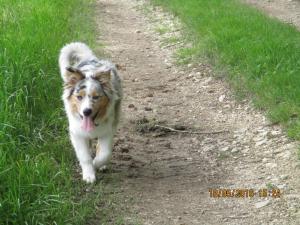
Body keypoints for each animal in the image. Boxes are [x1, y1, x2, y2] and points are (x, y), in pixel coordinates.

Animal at [58, 42, 122, 183]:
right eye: (79, 97)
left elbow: (104, 154)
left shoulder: (108, 130)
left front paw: (96, 165)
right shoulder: (77, 133)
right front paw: (89, 175)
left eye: (96, 97)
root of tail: (90, 58)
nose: (87, 111)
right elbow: (85, 156)